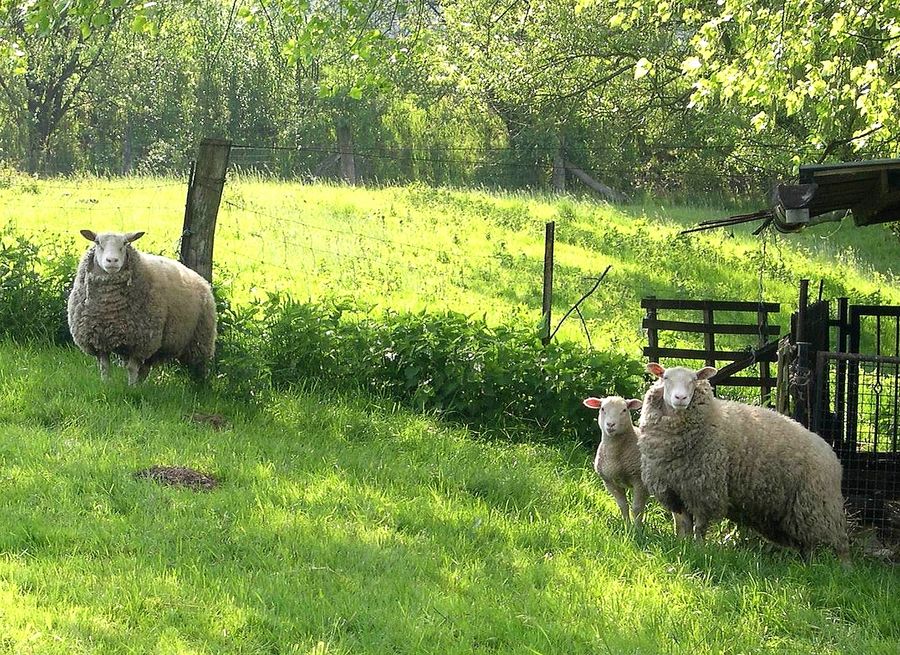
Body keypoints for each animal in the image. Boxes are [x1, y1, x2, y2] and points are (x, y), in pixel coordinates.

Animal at [66, 231, 217, 384]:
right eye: (97, 242)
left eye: (125, 243)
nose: (112, 261)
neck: (109, 308)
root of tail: (202, 280)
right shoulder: (99, 338)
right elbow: (104, 366)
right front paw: (106, 384)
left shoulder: (141, 342)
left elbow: (132, 368)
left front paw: (130, 386)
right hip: (159, 345)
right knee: (146, 368)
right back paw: (141, 385)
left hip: (200, 339)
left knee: (199, 367)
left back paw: (200, 385)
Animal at [584, 398, 648, 532]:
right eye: (602, 408)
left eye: (624, 410)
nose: (610, 424)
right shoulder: (609, 482)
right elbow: (623, 505)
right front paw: (627, 527)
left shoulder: (639, 482)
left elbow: (637, 508)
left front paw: (637, 531)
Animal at [640, 362, 852, 560]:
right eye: (665, 378)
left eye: (694, 380)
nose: (680, 398)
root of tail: (834, 457)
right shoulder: (674, 491)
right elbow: (682, 527)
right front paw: (682, 547)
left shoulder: (704, 491)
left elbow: (699, 528)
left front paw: (699, 550)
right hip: (800, 512)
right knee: (807, 544)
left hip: (821, 505)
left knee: (840, 543)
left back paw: (844, 567)